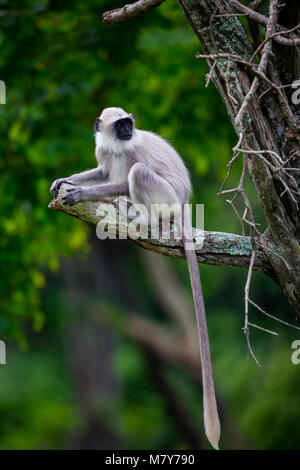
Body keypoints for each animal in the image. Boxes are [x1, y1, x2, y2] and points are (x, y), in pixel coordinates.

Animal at [49, 106, 220, 448]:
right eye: (121, 125)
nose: (129, 130)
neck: (118, 146)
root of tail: (184, 202)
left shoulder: (133, 151)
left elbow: (123, 177)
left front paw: (80, 193)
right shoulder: (103, 150)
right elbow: (103, 173)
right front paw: (64, 180)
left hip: (166, 197)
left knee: (138, 173)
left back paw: (143, 216)